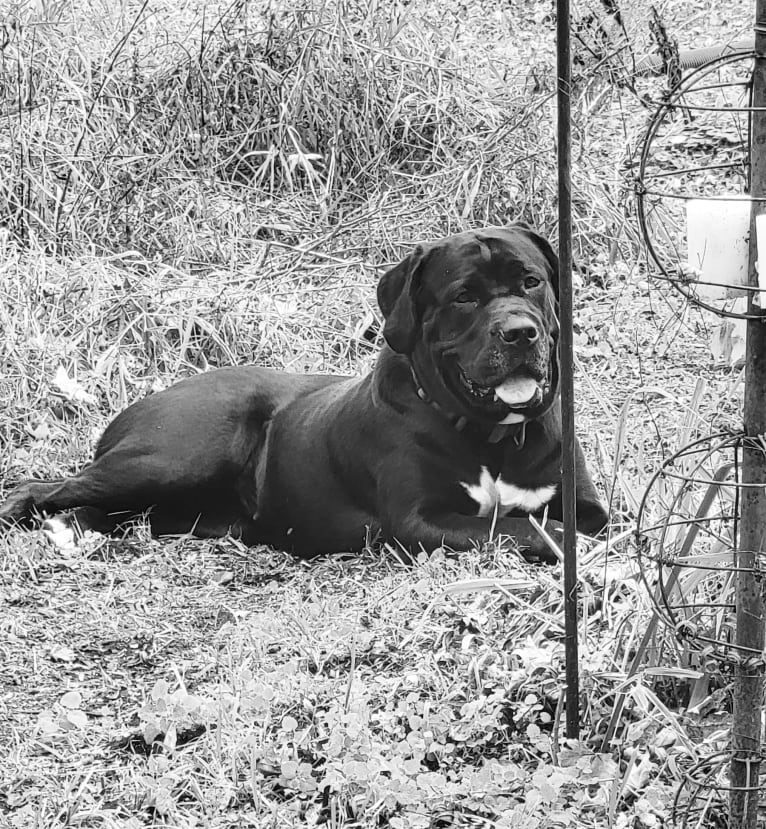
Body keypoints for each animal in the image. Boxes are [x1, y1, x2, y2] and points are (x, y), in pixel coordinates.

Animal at [1, 223, 612, 560]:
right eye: (464, 296)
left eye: (531, 281)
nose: (519, 331)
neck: (491, 438)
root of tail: (142, 401)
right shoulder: (422, 521)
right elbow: (519, 529)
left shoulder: (589, 505)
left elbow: (555, 521)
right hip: (175, 454)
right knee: (42, 486)